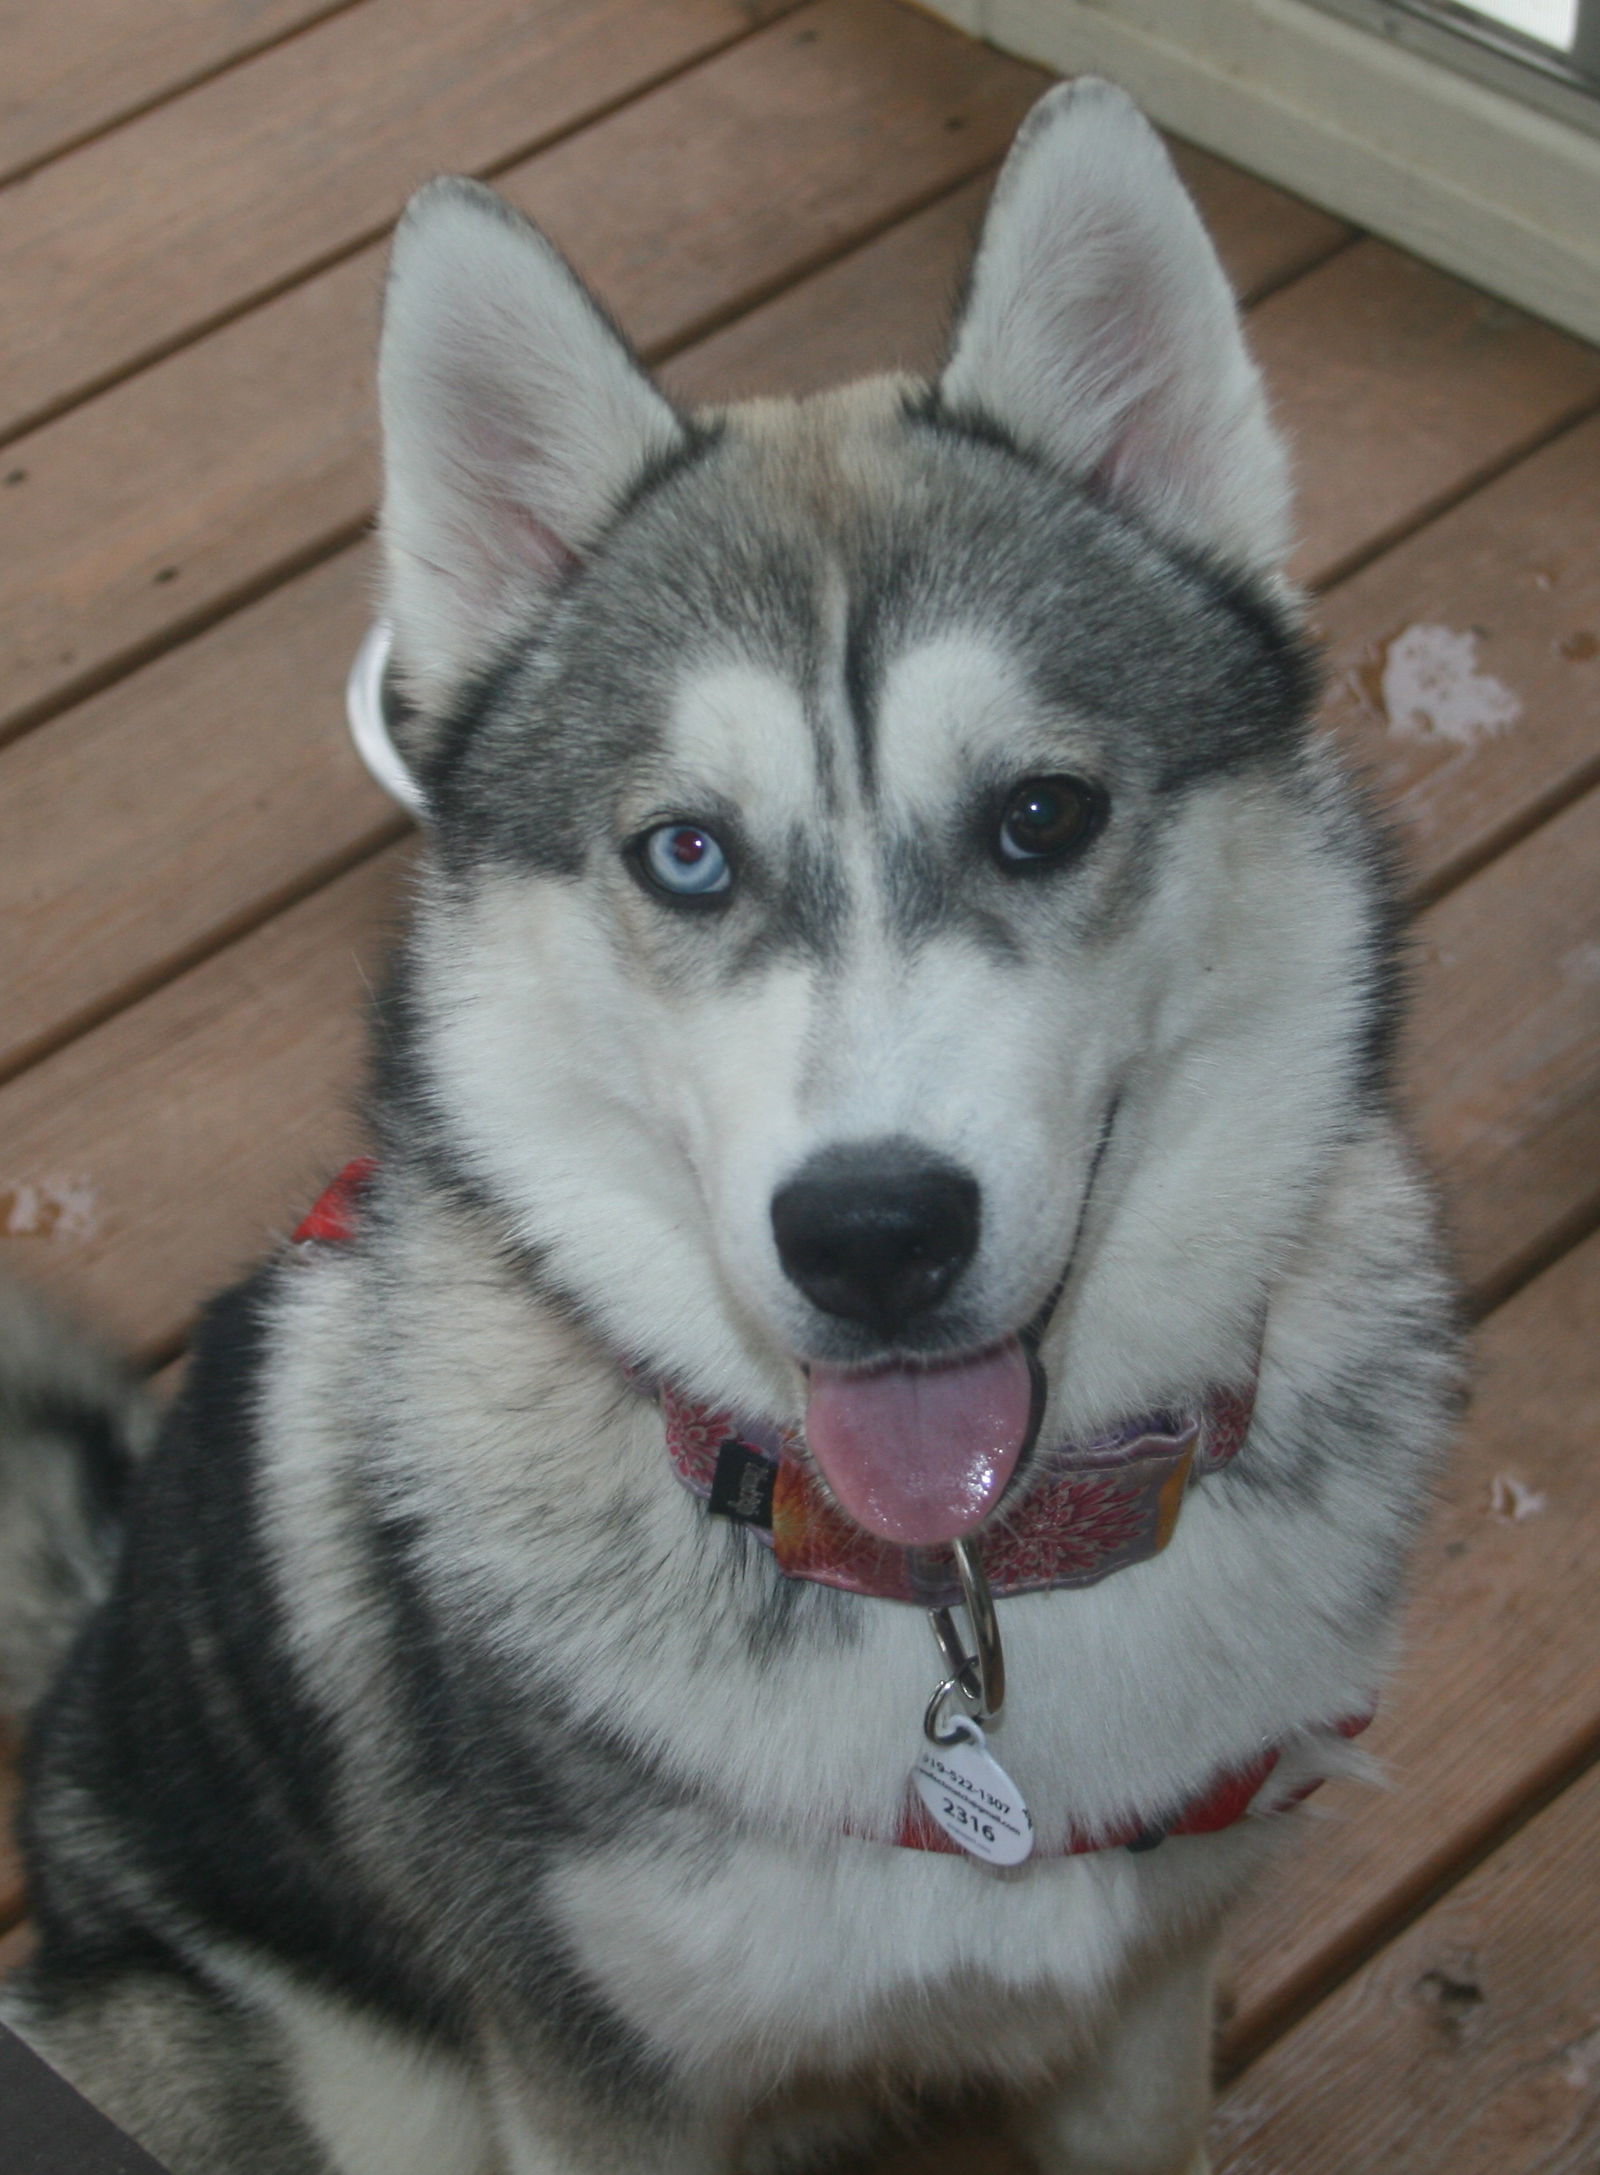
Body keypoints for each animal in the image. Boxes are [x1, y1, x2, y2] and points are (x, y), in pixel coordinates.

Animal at [0, 80, 1452, 2175]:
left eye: (1041, 815)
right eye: (687, 853)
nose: (874, 1234)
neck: (951, 1598)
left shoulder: (1141, 2021)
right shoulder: (596, 2089)